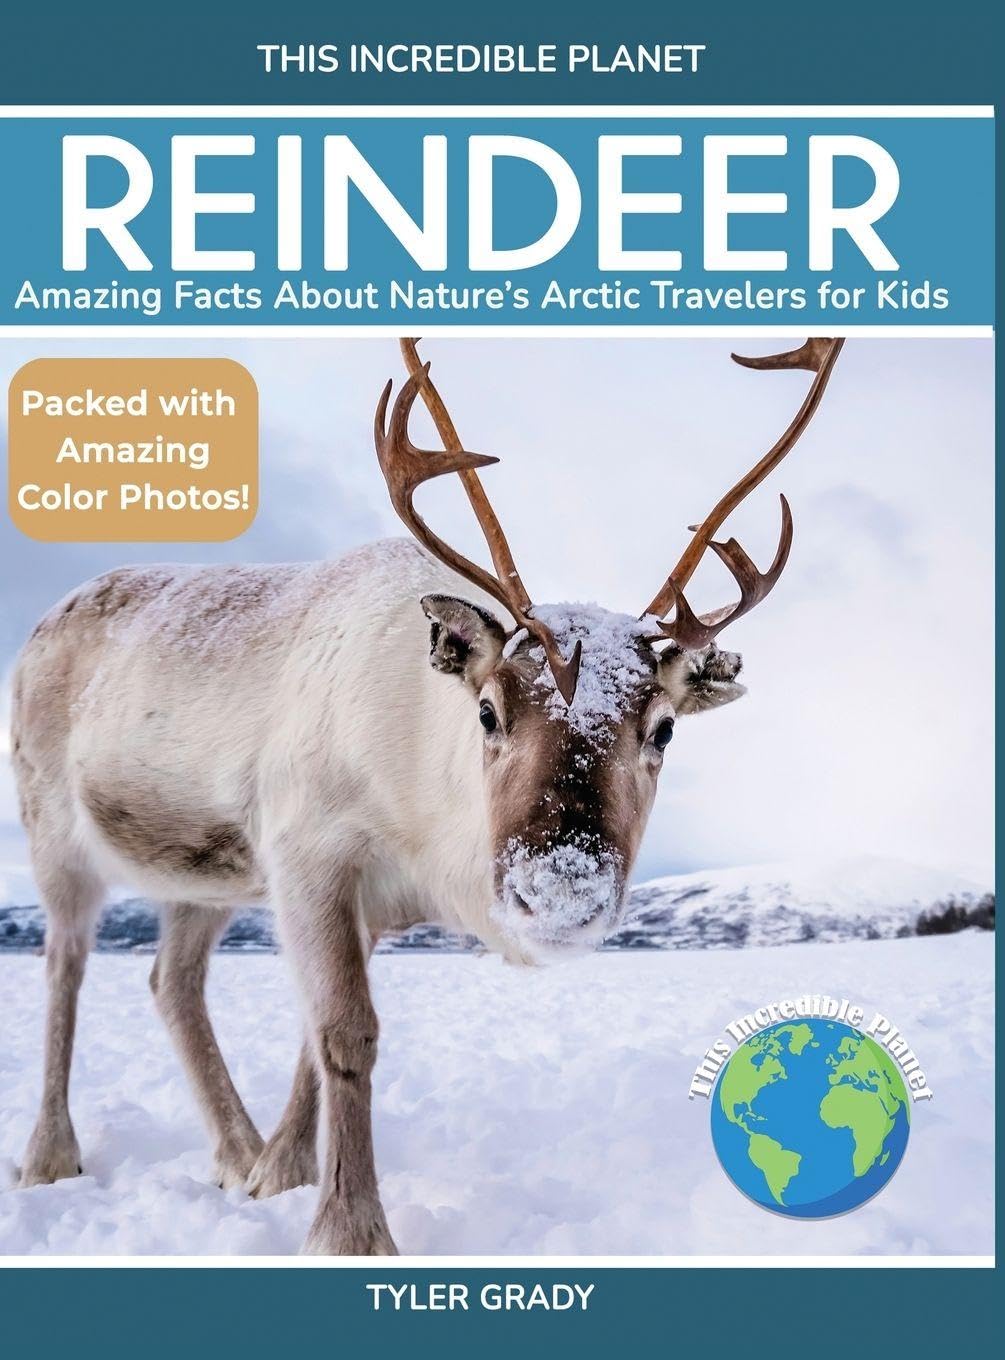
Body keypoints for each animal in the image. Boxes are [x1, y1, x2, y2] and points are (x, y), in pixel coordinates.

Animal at [11, 336, 844, 1254]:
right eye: (487, 710)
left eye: (661, 728)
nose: (561, 892)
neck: (422, 826)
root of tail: (46, 619)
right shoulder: (307, 855)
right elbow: (345, 1033)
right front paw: (346, 1229)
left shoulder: (364, 902)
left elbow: (313, 1039)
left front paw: (281, 1175)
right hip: (53, 830)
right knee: (64, 966)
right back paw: (50, 1156)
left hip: (202, 873)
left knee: (171, 981)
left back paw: (235, 1152)